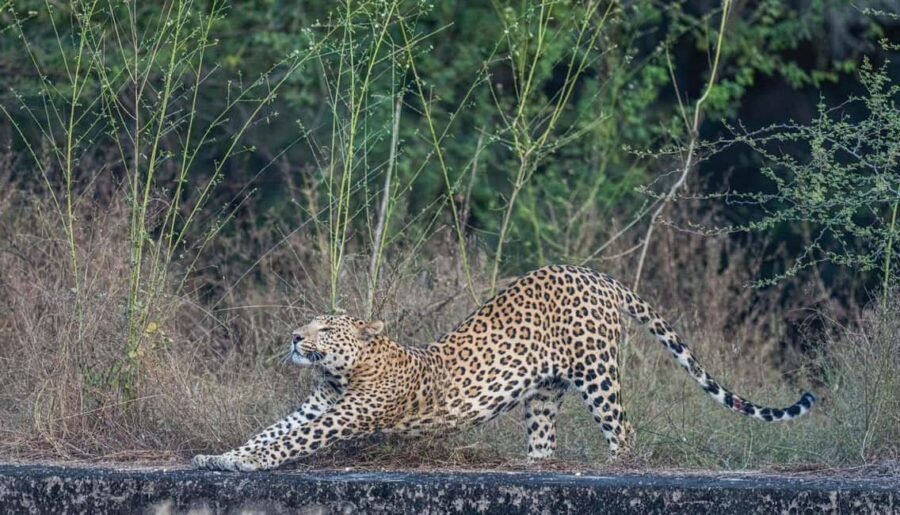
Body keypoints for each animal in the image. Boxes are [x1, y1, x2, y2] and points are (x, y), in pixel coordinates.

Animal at [192, 265, 815, 471]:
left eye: (327, 328)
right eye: (309, 325)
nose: (296, 337)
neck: (341, 373)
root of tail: (594, 274)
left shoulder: (344, 415)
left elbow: (286, 443)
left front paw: (247, 466)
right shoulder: (315, 406)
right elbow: (270, 431)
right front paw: (220, 457)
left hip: (597, 372)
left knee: (624, 428)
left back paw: (619, 467)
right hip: (543, 393)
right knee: (545, 440)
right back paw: (534, 467)